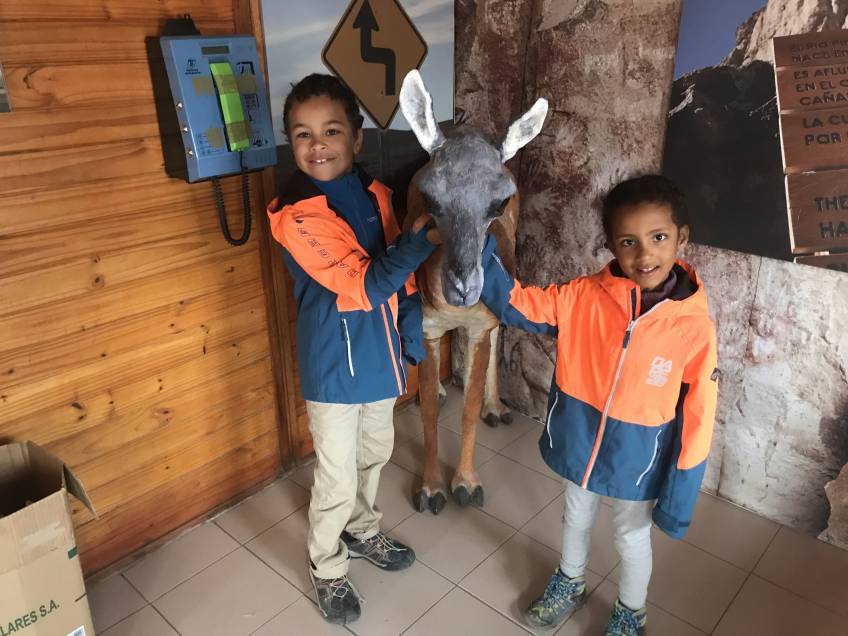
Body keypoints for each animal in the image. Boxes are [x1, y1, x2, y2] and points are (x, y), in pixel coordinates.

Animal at [399, 71, 548, 513]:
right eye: (430, 196)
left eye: (499, 201)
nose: (463, 288)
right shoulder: (428, 326)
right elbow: (430, 411)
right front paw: (431, 490)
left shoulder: (480, 326)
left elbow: (467, 408)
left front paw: (465, 484)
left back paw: (496, 408)